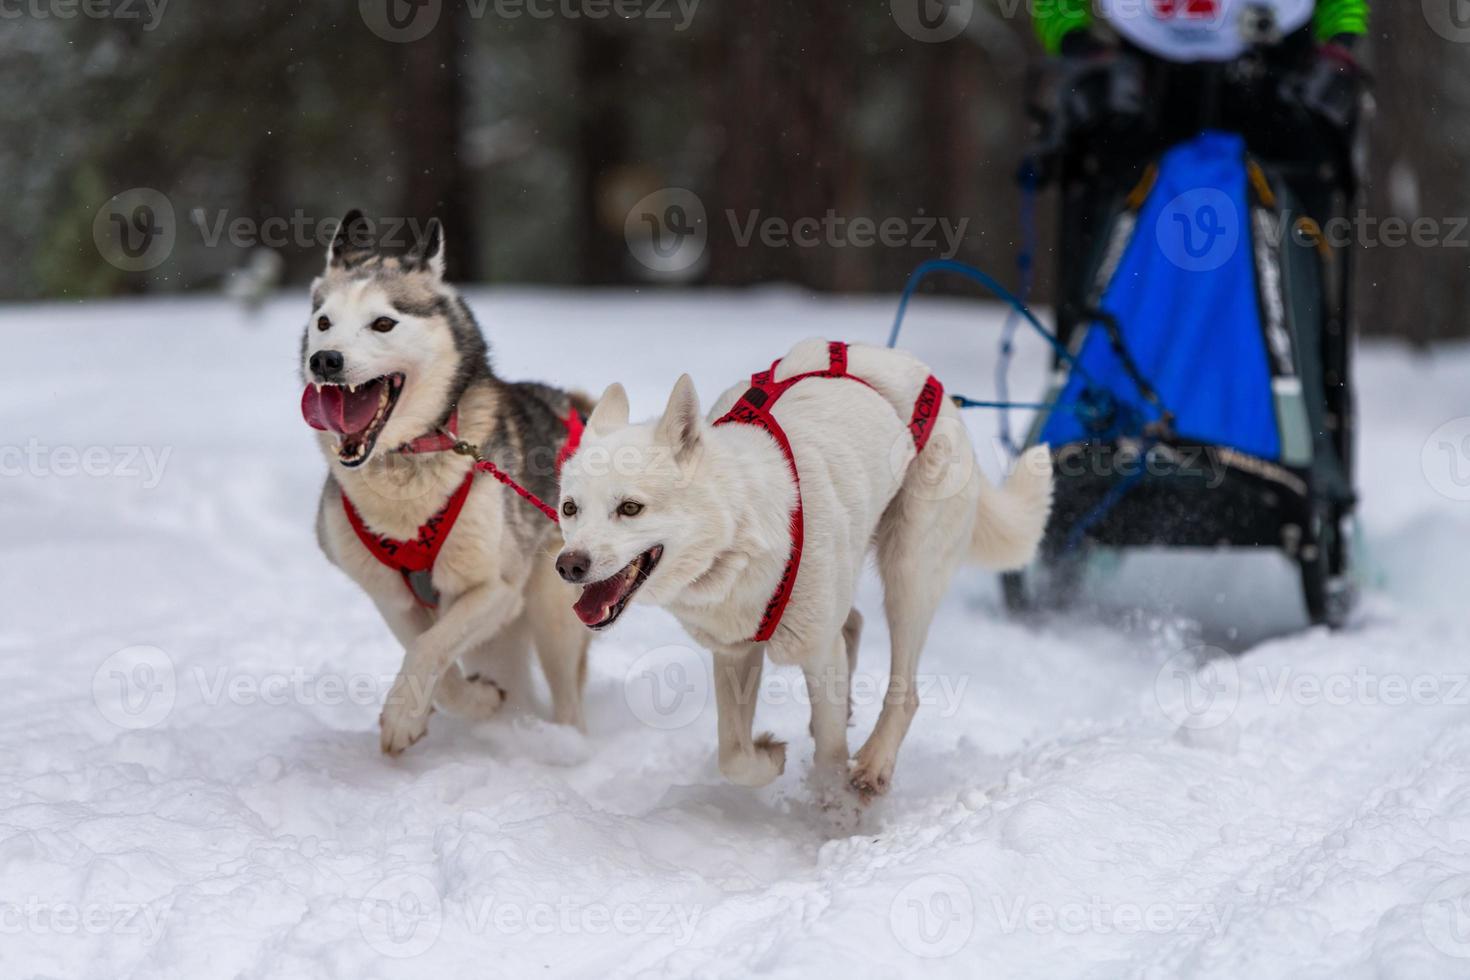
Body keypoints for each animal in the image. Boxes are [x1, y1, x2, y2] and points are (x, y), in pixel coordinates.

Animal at [302, 211, 590, 758]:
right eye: (324, 322)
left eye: (383, 323)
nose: (324, 360)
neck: (404, 463)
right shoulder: (391, 597)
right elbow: (434, 659)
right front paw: (472, 703)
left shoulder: (496, 589)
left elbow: (428, 647)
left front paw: (401, 717)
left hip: (553, 610)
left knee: (568, 692)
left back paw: (565, 742)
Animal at [555, 340, 1052, 799]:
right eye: (570, 508)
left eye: (630, 508)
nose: (568, 565)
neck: (741, 533)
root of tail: (936, 387)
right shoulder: (735, 653)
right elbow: (733, 755)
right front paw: (771, 756)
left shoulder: (817, 655)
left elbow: (830, 756)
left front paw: (833, 812)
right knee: (853, 623)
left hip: (909, 576)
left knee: (905, 691)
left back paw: (874, 763)